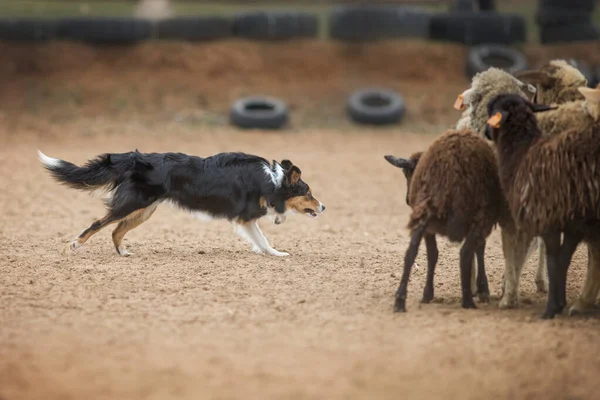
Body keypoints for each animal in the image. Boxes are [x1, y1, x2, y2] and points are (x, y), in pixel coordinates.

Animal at [39, 149, 326, 256]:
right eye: (309, 193)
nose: (323, 207)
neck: (272, 181)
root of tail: (134, 157)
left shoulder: (247, 219)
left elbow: (258, 238)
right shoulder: (246, 217)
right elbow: (264, 239)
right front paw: (276, 254)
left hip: (144, 210)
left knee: (115, 230)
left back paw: (123, 253)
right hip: (132, 204)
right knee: (98, 223)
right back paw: (74, 245)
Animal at [384, 131, 506, 312]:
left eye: (407, 174)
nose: (407, 199)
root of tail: (453, 164)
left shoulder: (430, 228)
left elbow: (433, 254)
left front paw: (428, 294)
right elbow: (479, 248)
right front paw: (482, 288)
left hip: (427, 211)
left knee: (411, 251)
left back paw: (400, 301)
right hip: (479, 214)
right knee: (465, 253)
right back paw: (467, 301)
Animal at [486, 93, 600, 318]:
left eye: (492, 109)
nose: (486, 132)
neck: (521, 152)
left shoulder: (548, 220)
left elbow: (554, 261)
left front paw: (551, 309)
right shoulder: (573, 227)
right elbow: (563, 259)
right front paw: (559, 302)